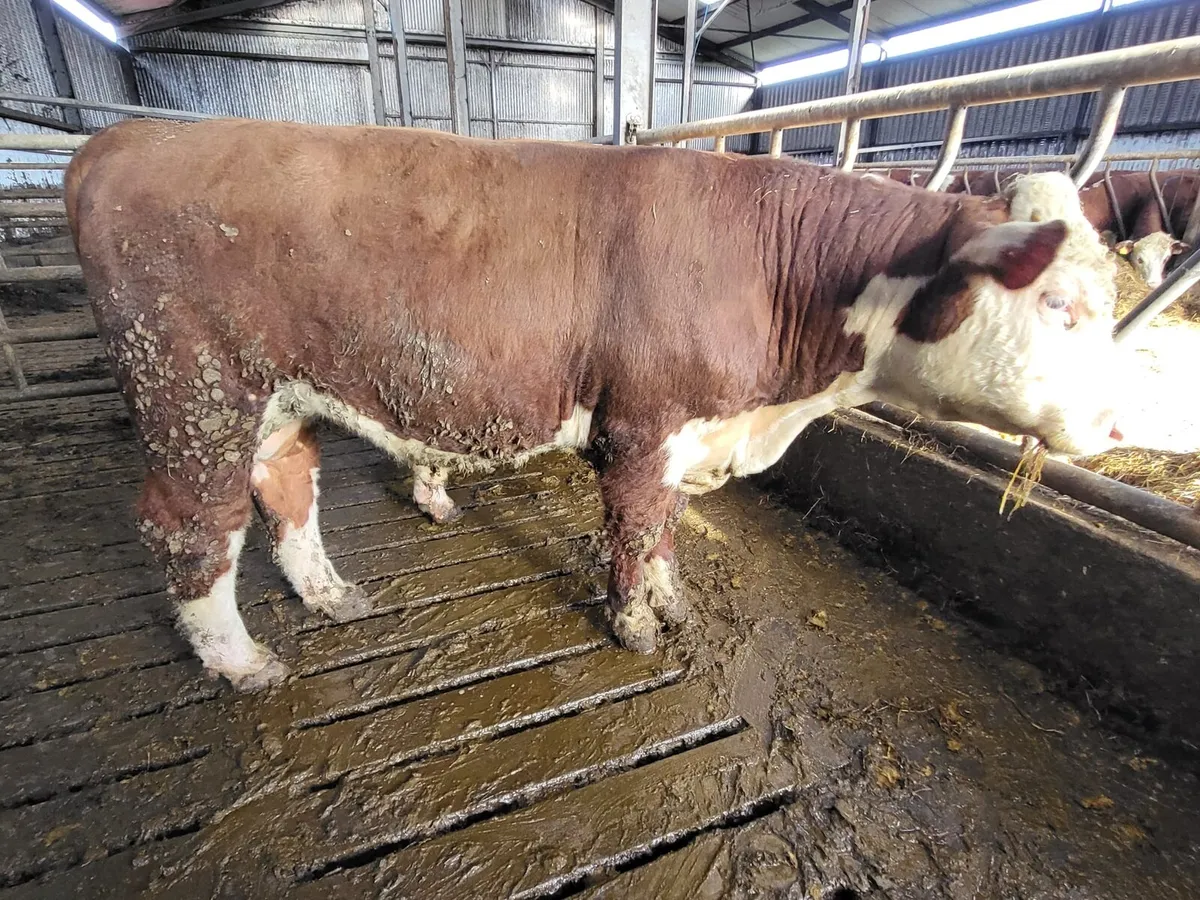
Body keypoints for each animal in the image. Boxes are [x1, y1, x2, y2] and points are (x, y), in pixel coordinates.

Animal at [66, 118, 1125, 692]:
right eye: (1059, 305)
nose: (1118, 422)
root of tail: (132, 136)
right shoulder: (642, 425)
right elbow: (630, 528)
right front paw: (635, 623)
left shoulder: (687, 431)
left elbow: (666, 528)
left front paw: (671, 595)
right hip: (192, 392)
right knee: (190, 526)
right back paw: (238, 661)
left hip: (275, 396)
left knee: (287, 487)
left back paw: (330, 596)